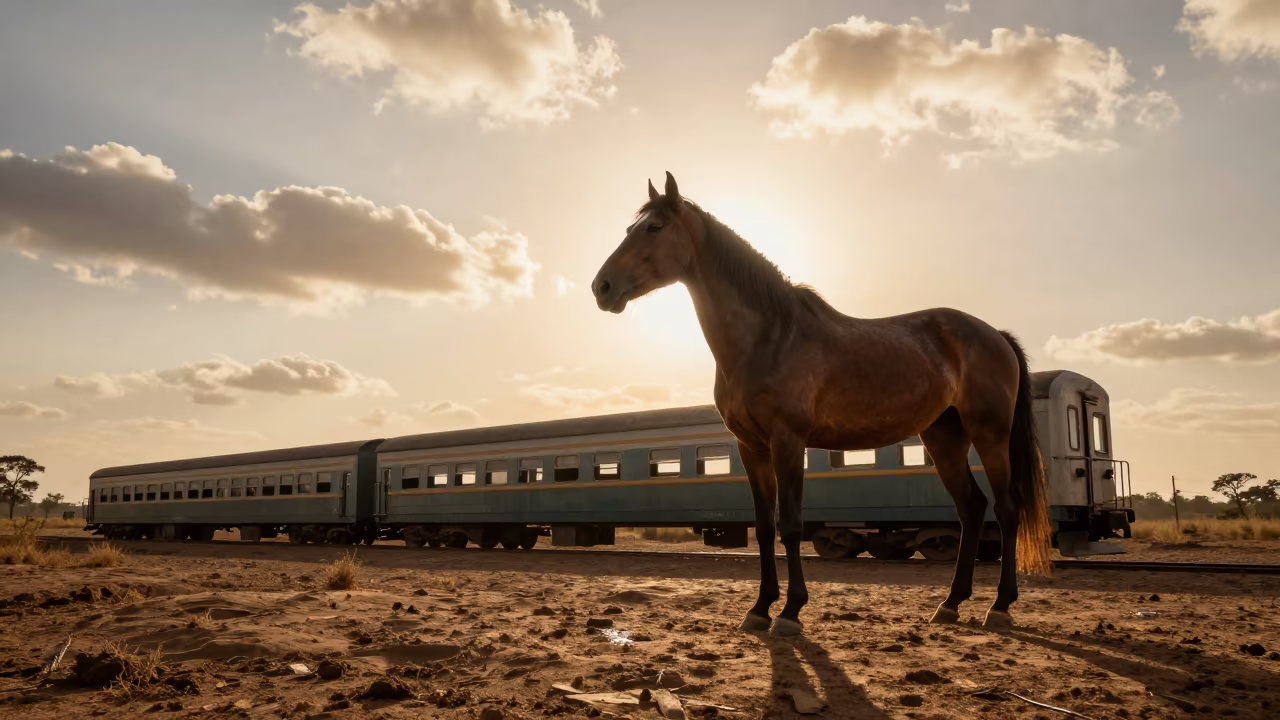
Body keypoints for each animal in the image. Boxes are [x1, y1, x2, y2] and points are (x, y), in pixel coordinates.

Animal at [591, 172, 1051, 636]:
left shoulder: (788, 441)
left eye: (654, 228)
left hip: (989, 433)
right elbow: (764, 528)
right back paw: (951, 603)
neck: (769, 337)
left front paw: (790, 612)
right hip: (944, 438)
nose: (602, 287)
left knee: (1005, 510)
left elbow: (791, 526)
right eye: (631, 228)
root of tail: (994, 334)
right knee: (971, 508)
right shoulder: (751, 448)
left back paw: (1000, 606)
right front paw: (759, 609)